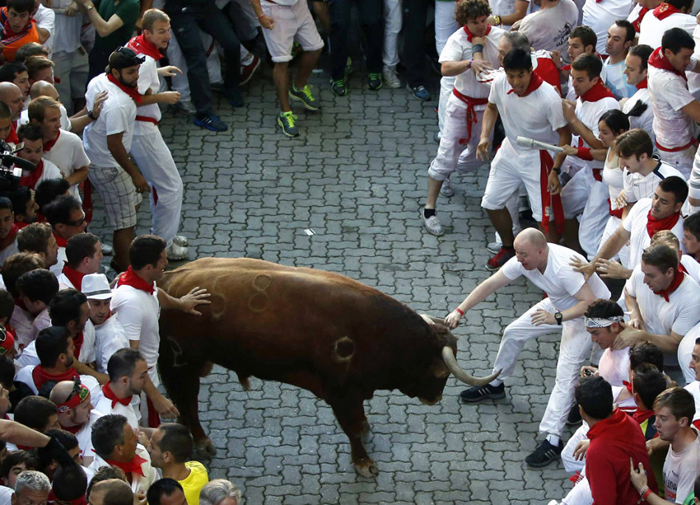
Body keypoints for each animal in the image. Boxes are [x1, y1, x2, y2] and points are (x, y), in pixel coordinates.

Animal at [159, 258, 498, 474]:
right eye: (441, 373)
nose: (435, 398)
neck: (378, 333)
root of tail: (169, 280)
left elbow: (359, 421)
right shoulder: (341, 392)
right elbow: (351, 426)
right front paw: (363, 463)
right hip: (181, 363)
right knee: (187, 401)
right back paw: (202, 442)